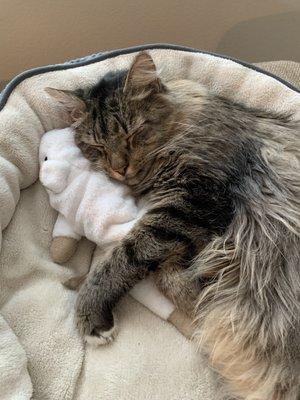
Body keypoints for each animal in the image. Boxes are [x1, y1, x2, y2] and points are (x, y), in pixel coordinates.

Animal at [46, 53, 298, 400]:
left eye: (133, 135)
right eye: (97, 148)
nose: (119, 169)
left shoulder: (193, 200)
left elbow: (125, 258)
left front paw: (89, 308)